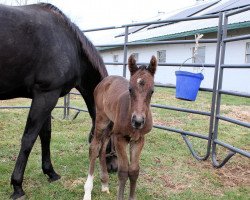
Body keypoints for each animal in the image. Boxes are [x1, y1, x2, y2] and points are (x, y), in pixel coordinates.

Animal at [83, 55, 157, 200]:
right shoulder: (119, 138)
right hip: (102, 118)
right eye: (130, 89)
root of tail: (105, 80)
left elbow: (134, 171)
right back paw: (87, 191)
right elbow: (123, 171)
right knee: (94, 148)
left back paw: (104, 183)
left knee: (103, 147)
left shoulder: (139, 139)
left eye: (152, 91)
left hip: (111, 124)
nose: (138, 121)